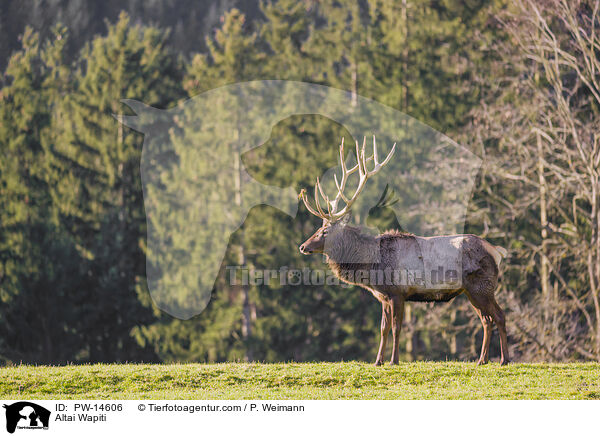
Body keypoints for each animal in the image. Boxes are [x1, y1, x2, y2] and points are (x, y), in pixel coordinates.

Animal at [298, 136, 508, 364]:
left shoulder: (398, 292)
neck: (371, 266)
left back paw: (504, 359)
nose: (303, 246)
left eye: (325, 231)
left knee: (499, 316)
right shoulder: (383, 296)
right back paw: (482, 359)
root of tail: (497, 251)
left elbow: (397, 328)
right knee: (486, 320)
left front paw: (394, 360)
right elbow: (383, 328)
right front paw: (378, 361)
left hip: (483, 286)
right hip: (471, 291)